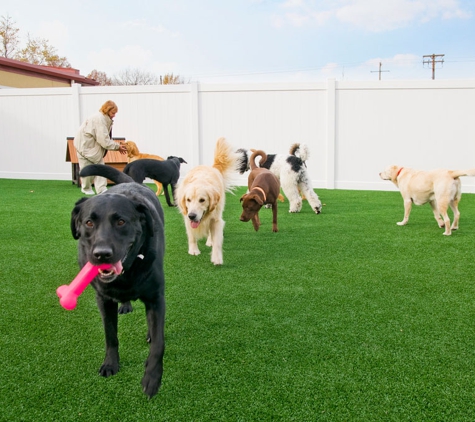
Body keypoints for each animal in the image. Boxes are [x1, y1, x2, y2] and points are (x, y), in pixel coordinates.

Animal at [71, 165, 165, 398]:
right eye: (89, 222)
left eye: (121, 221)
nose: (102, 254)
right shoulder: (103, 299)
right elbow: (110, 335)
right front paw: (110, 364)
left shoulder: (156, 297)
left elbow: (159, 342)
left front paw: (152, 377)